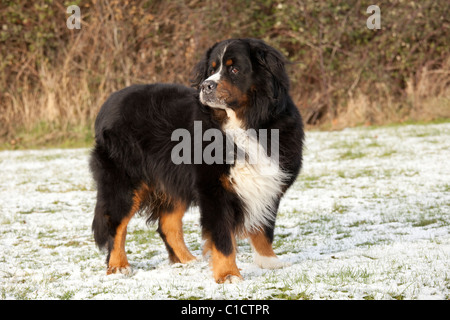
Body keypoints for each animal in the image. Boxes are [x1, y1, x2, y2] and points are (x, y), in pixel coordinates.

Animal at [89, 38, 304, 282]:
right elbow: (222, 237)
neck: (245, 123)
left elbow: (263, 228)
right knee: (116, 223)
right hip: (125, 181)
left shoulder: (269, 182)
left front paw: (269, 262)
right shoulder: (214, 188)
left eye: (234, 69)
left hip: (173, 178)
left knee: (167, 223)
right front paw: (228, 275)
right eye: (211, 70)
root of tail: (109, 102)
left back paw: (187, 261)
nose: (206, 86)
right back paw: (118, 266)